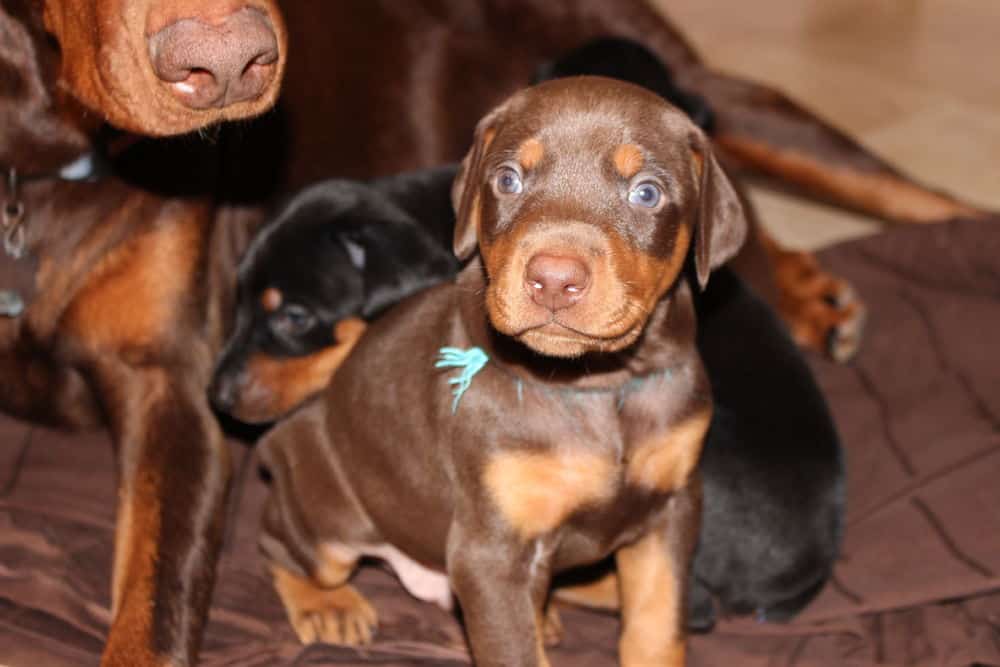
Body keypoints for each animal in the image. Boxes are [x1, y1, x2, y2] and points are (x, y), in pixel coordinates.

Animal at [254, 75, 748, 664]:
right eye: (508, 179)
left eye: (646, 192)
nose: (554, 278)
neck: (598, 386)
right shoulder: (491, 548)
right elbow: (514, 647)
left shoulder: (671, 509)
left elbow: (656, 622)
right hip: (325, 509)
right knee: (284, 545)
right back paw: (326, 604)